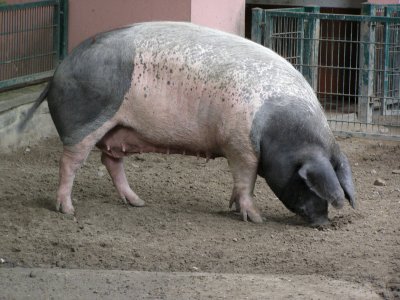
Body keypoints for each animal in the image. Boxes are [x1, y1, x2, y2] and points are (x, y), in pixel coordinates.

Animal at [21, 21, 354, 225]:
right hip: (85, 124)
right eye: (306, 182)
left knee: (111, 161)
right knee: (70, 162)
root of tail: (57, 71)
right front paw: (256, 218)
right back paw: (67, 210)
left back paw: (138, 203)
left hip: (117, 130)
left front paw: (232, 207)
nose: (324, 223)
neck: (275, 127)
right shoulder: (240, 146)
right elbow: (246, 181)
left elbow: (240, 185)